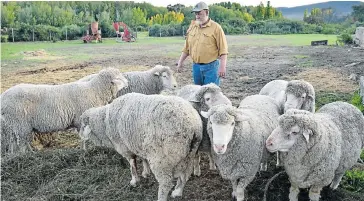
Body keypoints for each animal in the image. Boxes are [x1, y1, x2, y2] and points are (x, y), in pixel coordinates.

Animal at [0, 68, 128, 155]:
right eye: (118, 77)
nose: (127, 83)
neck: (95, 90)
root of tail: (3, 97)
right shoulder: (80, 120)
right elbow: (83, 138)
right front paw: (84, 151)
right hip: (19, 123)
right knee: (21, 143)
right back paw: (26, 155)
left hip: (20, 126)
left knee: (20, 142)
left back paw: (29, 153)